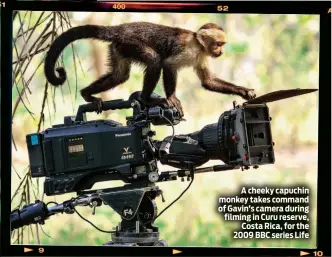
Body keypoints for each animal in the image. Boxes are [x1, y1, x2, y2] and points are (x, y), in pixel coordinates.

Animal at [44, 22, 255, 116]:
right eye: (219, 44)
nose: (221, 51)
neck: (199, 44)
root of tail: (120, 28)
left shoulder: (201, 56)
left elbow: (208, 81)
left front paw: (244, 91)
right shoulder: (189, 49)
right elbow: (168, 64)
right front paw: (171, 98)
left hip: (119, 47)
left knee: (120, 75)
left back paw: (87, 94)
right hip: (130, 42)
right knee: (154, 61)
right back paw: (145, 100)